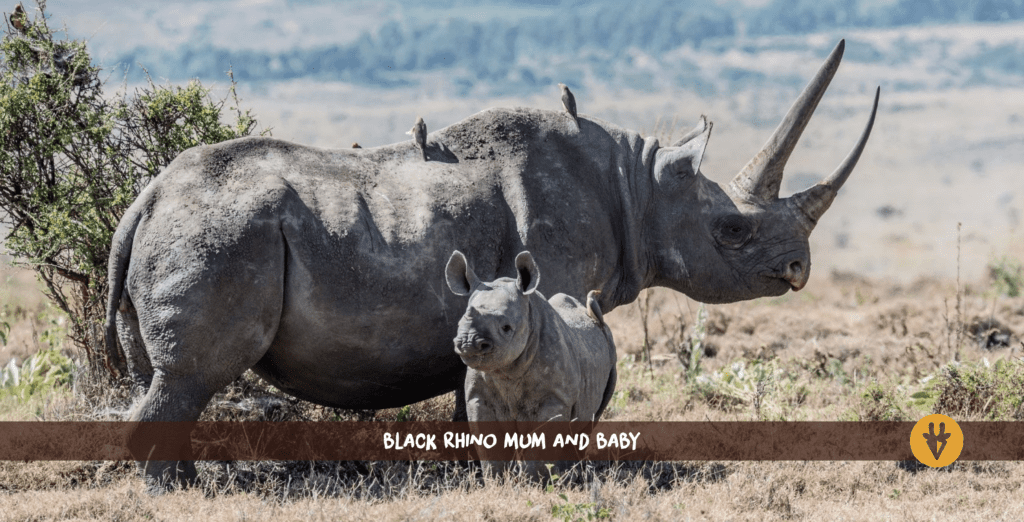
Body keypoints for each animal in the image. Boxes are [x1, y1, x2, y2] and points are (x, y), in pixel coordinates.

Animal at [105, 40, 878, 488]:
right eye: (733, 231)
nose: (798, 269)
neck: (638, 187)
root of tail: (145, 199)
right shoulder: (551, 284)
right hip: (220, 233)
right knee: (190, 378)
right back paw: (179, 492)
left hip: (192, 230)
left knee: (168, 380)